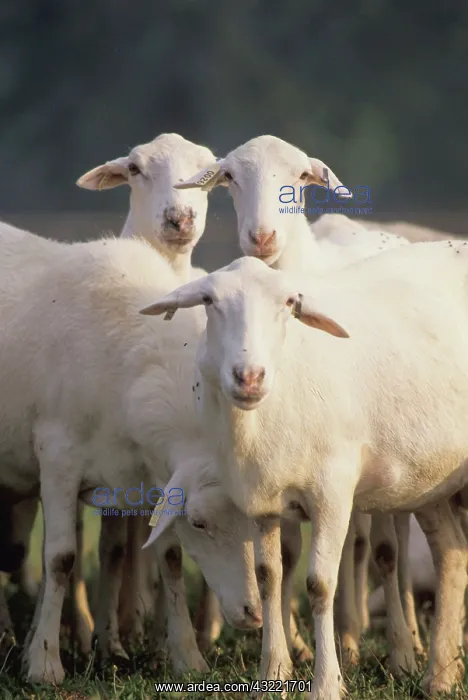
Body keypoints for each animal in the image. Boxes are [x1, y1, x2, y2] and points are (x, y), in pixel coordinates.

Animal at [0, 230, 262, 683]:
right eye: (200, 522)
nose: (251, 614)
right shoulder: (57, 457)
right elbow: (60, 558)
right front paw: (45, 663)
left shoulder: (151, 478)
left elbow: (169, 558)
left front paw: (187, 656)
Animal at [142, 244, 468, 699]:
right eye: (209, 300)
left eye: (289, 304)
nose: (249, 376)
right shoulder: (260, 498)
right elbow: (269, 575)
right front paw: (273, 675)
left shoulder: (333, 491)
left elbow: (318, 584)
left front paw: (327, 683)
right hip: (429, 479)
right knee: (452, 554)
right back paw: (440, 676)